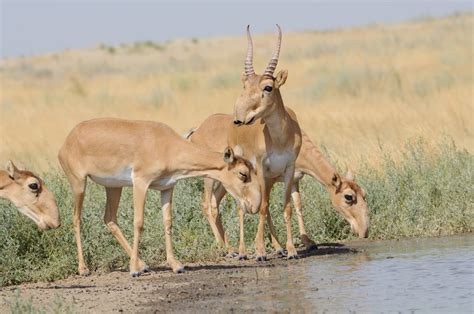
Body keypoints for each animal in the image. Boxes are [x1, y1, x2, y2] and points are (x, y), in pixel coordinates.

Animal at [58, 118, 262, 278]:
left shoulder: (167, 188)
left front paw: (176, 265)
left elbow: (168, 222)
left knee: (109, 219)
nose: (253, 206)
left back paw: (143, 264)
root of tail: (68, 140)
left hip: (113, 187)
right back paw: (84, 269)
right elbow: (138, 222)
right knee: (76, 218)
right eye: (243, 173)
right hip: (79, 184)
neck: (166, 145)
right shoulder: (141, 183)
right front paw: (133, 270)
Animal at [186, 113, 370, 258]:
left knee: (215, 204)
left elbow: (297, 205)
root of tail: (197, 129)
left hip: (226, 184)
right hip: (210, 178)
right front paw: (278, 247)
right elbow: (266, 208)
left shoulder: (294, 180)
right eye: (348, 196)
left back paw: (229, 247)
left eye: (364, 193)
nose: (365, 231)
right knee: (206, 204)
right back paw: (225, 248)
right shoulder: (269, 180)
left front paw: (308, 242)